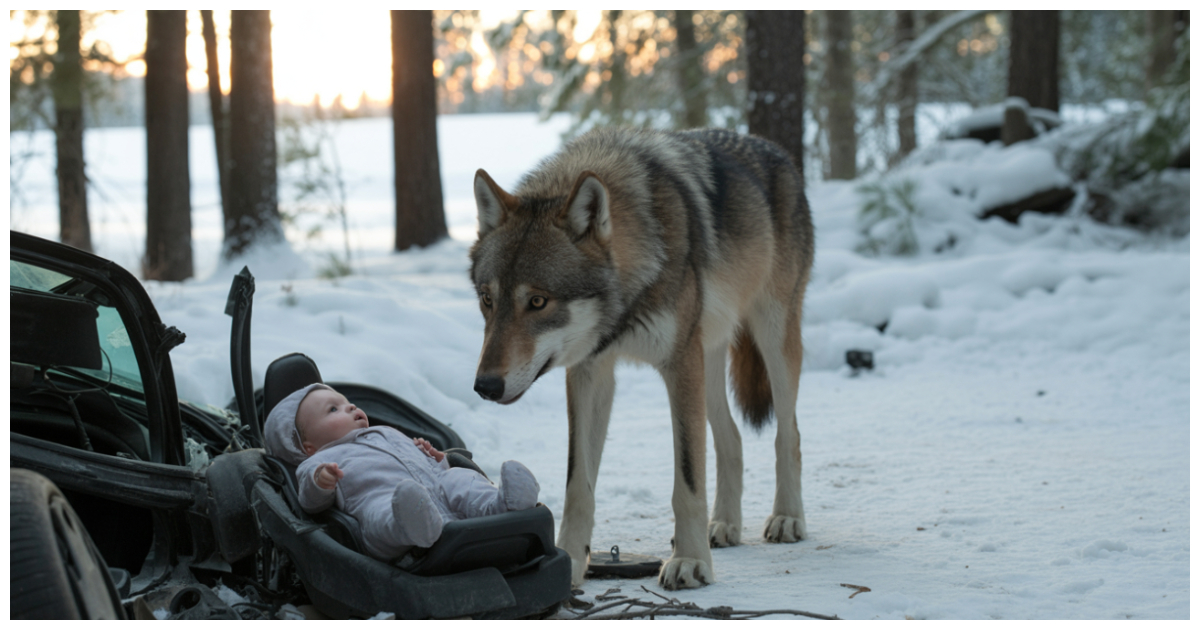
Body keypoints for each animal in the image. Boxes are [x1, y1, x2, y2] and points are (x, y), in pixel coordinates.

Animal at [469, 127, 814, 590]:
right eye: (488, 299)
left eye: (538, 301)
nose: (485, 386)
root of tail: (773, 149)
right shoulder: (591, 372)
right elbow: (578, 483)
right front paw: (571, 561)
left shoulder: (679, 366)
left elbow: (688, 479)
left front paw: (689, 561)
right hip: (707, 363)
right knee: (732, 440)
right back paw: (724, 525)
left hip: (771, 337)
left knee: (787, 435)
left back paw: (788, 518)